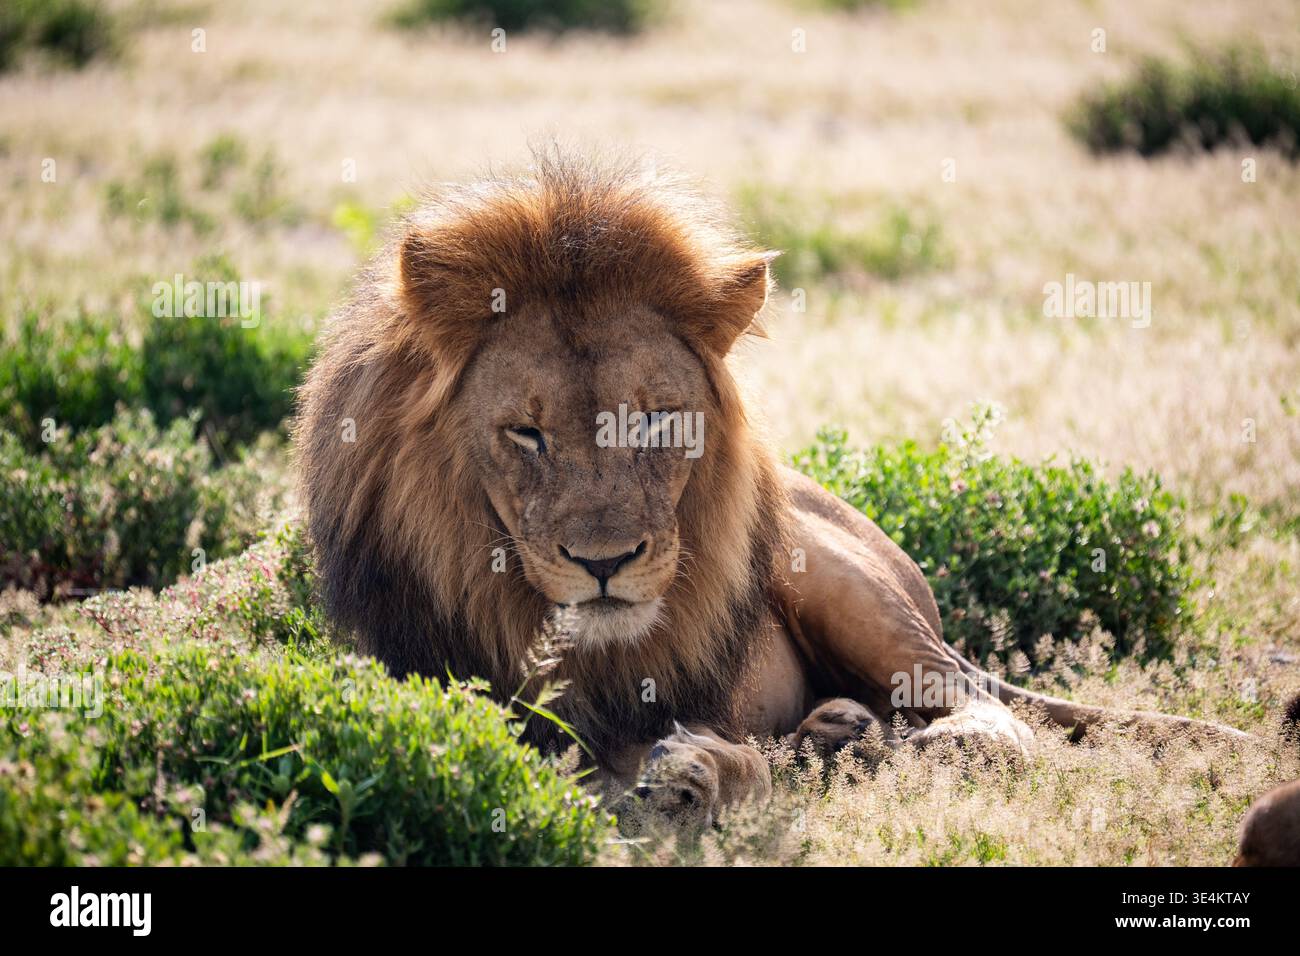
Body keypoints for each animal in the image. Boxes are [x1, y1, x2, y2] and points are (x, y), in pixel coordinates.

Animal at [295, 149, 1251, 826]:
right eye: (526, 433)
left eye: (657, 422)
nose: (605, 564)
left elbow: (726, 763)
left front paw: (695, 777)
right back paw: (842, 735)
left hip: (843, 582)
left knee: (984, 709)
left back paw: (905, 747)